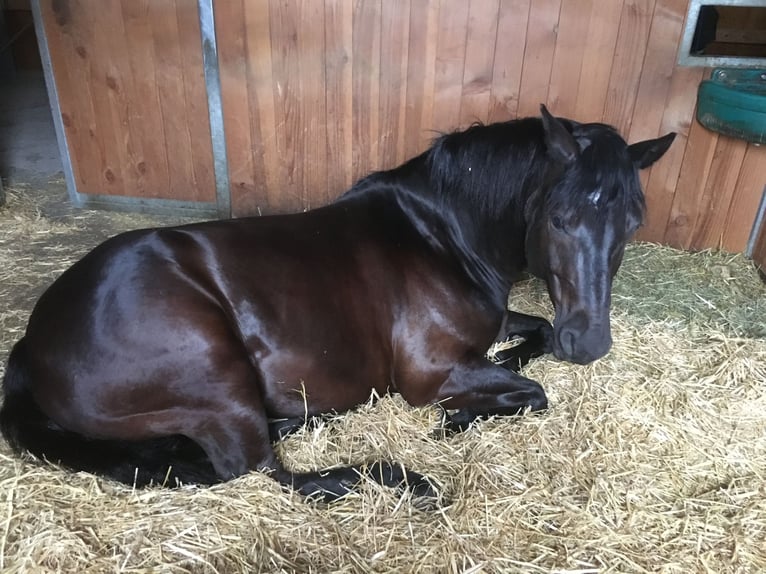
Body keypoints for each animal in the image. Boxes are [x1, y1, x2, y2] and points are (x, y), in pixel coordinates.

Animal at [0, 108, 672, 504]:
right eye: (559, 217)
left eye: (633, 223)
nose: (589, 344)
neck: (440, 233)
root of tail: (34, 344)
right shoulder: (430, 372)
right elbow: (532, 391)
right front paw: (458, 418)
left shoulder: (495, 325)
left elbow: (533, 342)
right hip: (217, 373)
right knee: (261, 471)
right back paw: (400, 480)